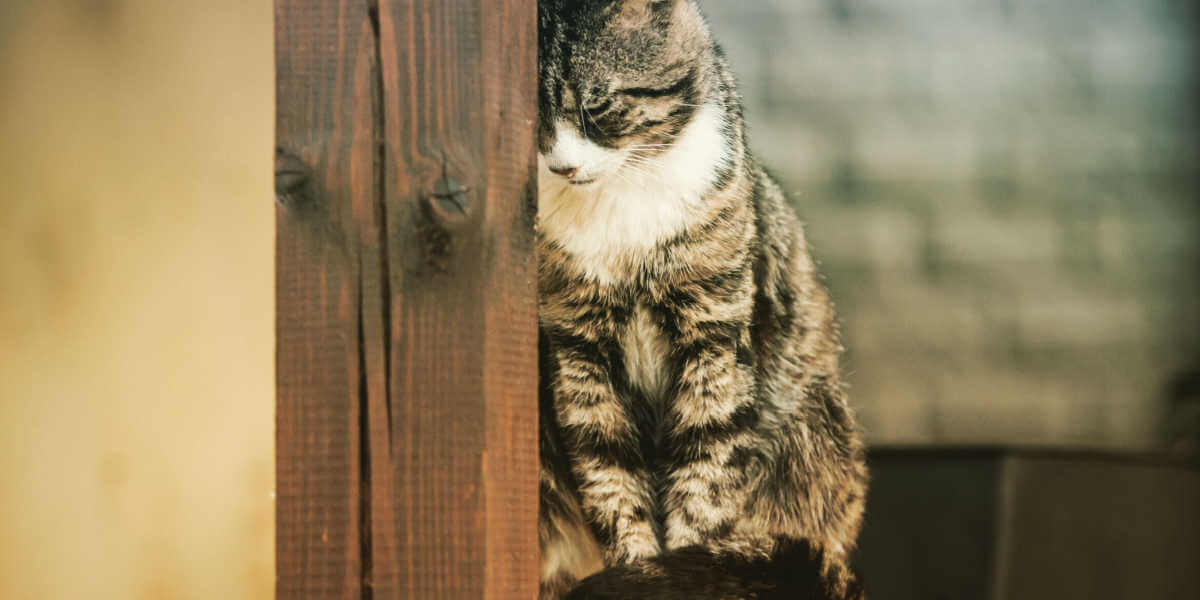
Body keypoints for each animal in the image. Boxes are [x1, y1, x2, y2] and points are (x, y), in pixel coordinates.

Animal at [540, 2, 868, 597]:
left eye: (596, 104)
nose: (562, 166)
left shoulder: (714, 338)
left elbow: (705, 479)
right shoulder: (580, 357)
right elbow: (611, 477)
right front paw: (635, 566)